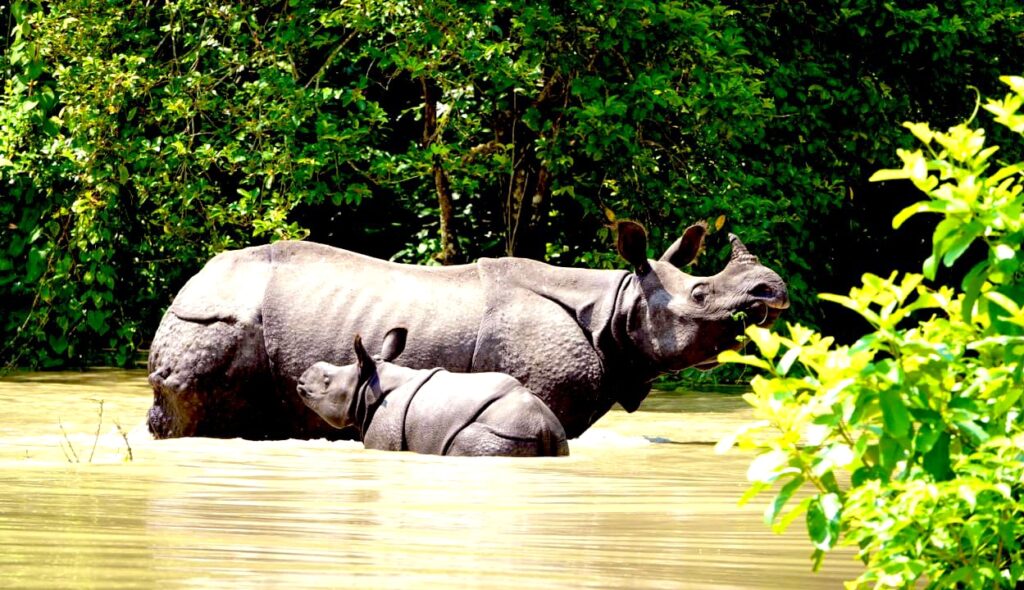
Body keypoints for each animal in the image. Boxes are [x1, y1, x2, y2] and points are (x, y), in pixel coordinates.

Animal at [296, 327, 573, 456]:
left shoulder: (384, 436)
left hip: (501, 433)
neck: (369, 384)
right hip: (552, 435)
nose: (300, 380)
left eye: (326, 381)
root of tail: (541, 426)